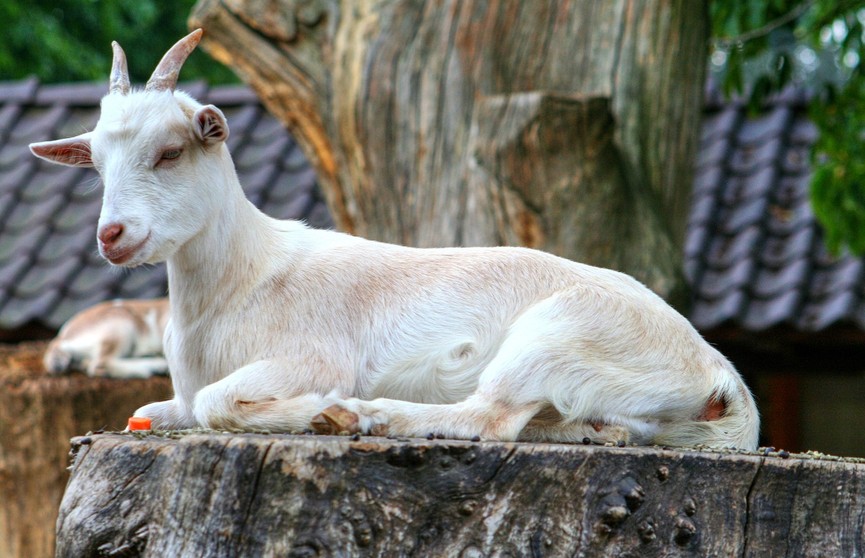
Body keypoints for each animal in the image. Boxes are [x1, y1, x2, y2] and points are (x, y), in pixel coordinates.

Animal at [28, 29, 756, 450]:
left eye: (171, 152)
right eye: (95, 165)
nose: (113, 235)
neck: (244, 277)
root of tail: (720, 374)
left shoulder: (310, 354)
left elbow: (217, 403)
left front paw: (315, 407)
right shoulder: (175, 395)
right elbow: (149, 413)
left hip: (558, 333)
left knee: (488, 417)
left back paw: (360, 416)